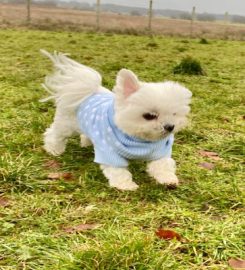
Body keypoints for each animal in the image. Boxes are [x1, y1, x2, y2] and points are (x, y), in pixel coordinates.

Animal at [41, 50, 192, 190]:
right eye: (150, 115)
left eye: (174, 114)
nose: (170, 126)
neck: (140, 140)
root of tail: (89, 90)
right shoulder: (109, 152)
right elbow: (118, 172)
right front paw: (125, 185)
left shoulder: (160, 151)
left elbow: (162, 165)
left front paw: (168, 179)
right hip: (66, 125)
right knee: (53, 134)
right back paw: (54, 149)